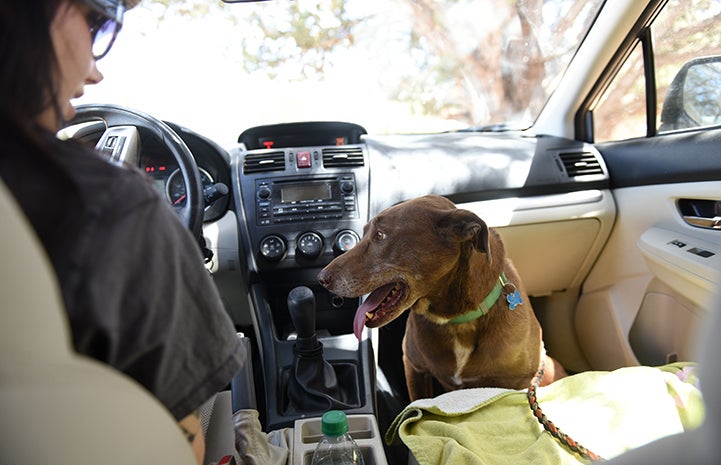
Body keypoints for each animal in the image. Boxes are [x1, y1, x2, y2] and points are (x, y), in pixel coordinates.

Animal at [318, 194, 564, 400]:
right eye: (365, 232)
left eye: (380, 235)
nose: (321, 278)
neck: (455, 321)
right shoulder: (415, 368)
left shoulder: (518, 384)